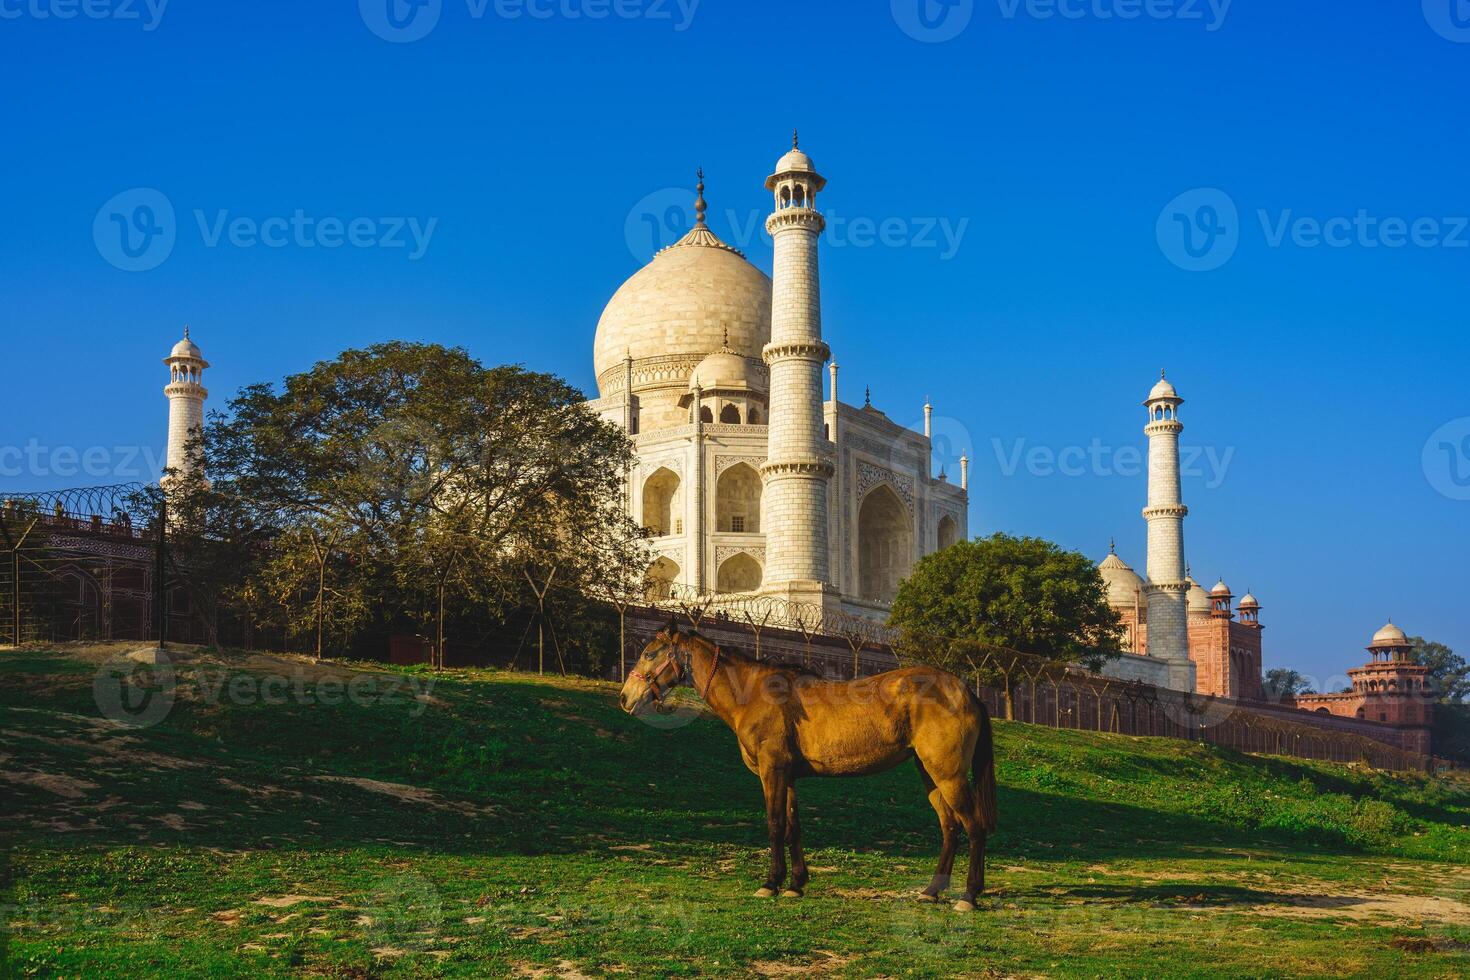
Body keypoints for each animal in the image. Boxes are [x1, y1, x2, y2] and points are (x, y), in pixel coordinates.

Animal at [620, 620, 999, 910]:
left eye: (650, 653)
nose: (625, 697)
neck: (754, 694)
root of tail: (965, 691)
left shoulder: (772, 772)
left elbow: (775, 825)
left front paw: (770, 883)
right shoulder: (787, 777)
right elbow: (793, 827)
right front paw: (795, 884)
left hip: (948, 774)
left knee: (974, 826)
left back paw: (969, 896)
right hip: (930, 773)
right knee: (950, 827)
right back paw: (931, 891)